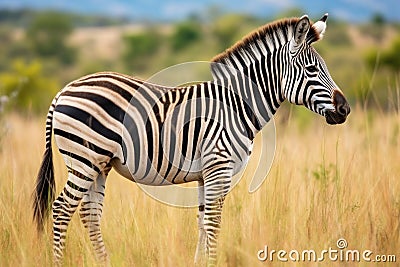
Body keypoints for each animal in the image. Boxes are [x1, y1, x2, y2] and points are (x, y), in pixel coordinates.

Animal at [32, 14, 350, 266]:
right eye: (311, 70)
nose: (345, 109)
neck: (236, 106)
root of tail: (64, 90)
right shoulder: (219, 168)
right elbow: (213, 222)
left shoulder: (205, 174)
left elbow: (201, 222)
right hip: (84, 160)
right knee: (61, 210)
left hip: (100, 163)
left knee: (90, 214)